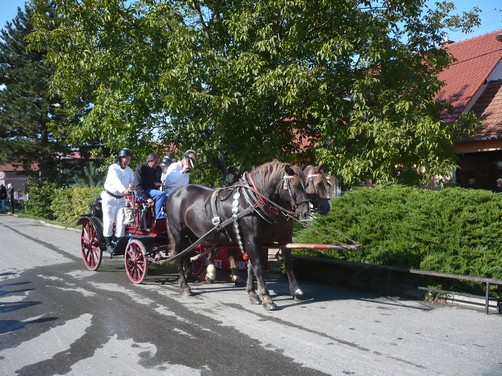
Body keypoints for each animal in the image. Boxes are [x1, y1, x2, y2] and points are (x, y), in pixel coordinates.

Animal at [165, 160, 310, 310]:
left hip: (193, 234)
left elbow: (276, 265)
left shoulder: (264, 240)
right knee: (179, 256)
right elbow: (257, 268)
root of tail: (175, 193)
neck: (252, 202)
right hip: (178, 233)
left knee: (187, 254)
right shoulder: (252, 240)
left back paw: (188, 277)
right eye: (294, 185)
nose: (306, 211)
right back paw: (185, 286)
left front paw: (255, 294)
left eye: (306, 184)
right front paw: (266, 297)